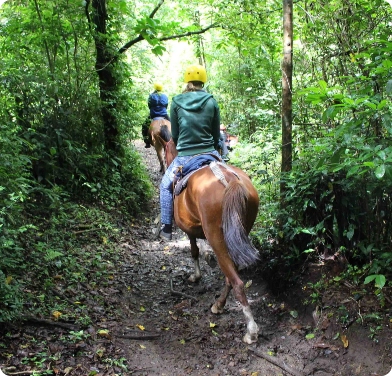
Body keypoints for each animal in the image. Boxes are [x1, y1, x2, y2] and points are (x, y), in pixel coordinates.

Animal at [162, 137, 260, 344]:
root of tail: (230, 180)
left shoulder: (189, 229)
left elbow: (194, 250)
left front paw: (196, 275)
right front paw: (207, 258)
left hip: (217, 236)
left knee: (237, 282)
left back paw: (251, 331)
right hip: (237, 233)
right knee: (231, 277)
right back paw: (219, 305)